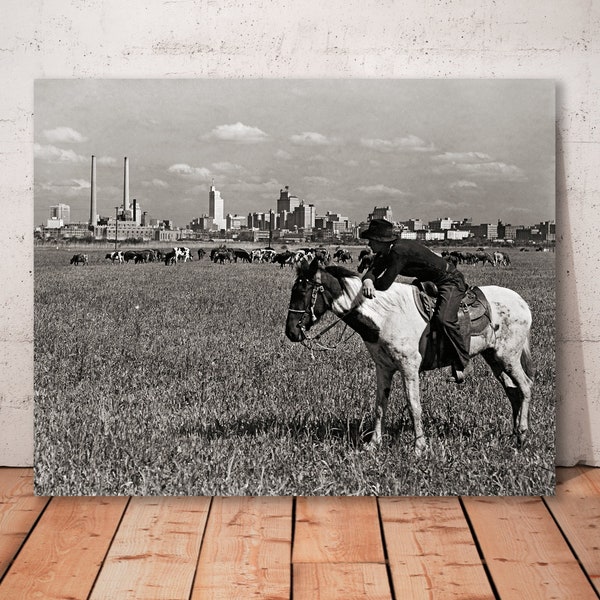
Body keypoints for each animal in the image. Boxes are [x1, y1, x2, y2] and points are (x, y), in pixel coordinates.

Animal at [286, 258, 536, 454]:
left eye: (302, 291)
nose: (291, 332)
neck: (385, 316)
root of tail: (522, 303)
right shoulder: (383, 368)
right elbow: (380, 405)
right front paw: (373, 444)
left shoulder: (409, 368)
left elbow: (414, 405)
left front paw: (419, 446)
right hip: (494, 358)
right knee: (512, 392)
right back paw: (514, 435)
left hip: (508, 357)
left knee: (525, 387)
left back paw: (523, 435)